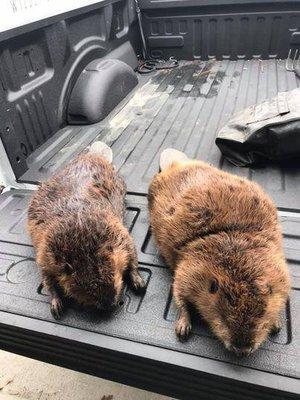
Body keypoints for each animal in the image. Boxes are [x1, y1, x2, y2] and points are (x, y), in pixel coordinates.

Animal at [27, 142, 146, 320]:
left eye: (114, 279)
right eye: (90, 293)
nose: (109, 304)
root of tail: (92, 154)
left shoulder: (119, 232)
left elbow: (132, 254)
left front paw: (139, 282)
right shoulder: (45, 252)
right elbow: (46, 278)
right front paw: (56, 306)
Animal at [149, 148, 290, 354]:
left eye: (261, 317)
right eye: (224, 320)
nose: (242, 349)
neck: (229, 235)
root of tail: (175, 162)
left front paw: (277, 324)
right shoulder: (188, 267)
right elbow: (179, 294)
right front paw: (183, 328)